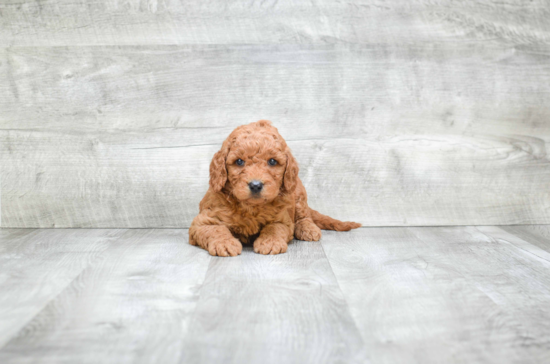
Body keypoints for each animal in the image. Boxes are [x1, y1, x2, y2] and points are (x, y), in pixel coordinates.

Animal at [190, 120, 362, 256]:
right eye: (239, 161)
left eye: (272, 161)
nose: (256, 185)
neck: (251, 207)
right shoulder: (203, 221)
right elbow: (215, 229)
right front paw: (225, 243)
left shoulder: (283, 219)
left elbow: (274, 228)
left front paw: (270, 243)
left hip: (298, 192)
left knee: (304, 215)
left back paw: (308, 229)